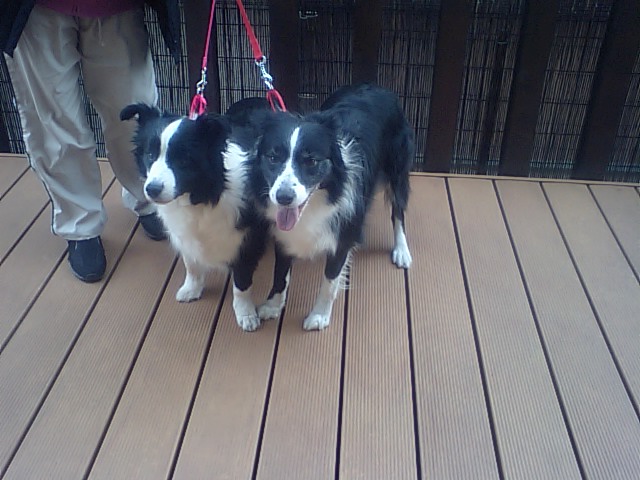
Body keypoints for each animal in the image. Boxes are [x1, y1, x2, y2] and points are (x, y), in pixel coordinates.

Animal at [120, 98, 270, 331]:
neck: (201, 196)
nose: (152, 189)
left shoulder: (248, 238)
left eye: (184, 160)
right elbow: (191, 263)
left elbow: (242, 281)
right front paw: (191, 289)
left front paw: (245, 313)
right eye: (150, 155)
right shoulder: (184, 232)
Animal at [250, 83, 414, 330]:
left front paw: (319, 316)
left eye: (311, 161)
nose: (284, 197)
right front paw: (273, 305)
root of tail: (375, 86)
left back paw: (402, 250)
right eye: (272, 157)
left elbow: (330, 279)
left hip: (397, 166)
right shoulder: (283, 234)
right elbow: (280, 273)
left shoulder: (345, 233)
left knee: (398, 211)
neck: (318, 199)